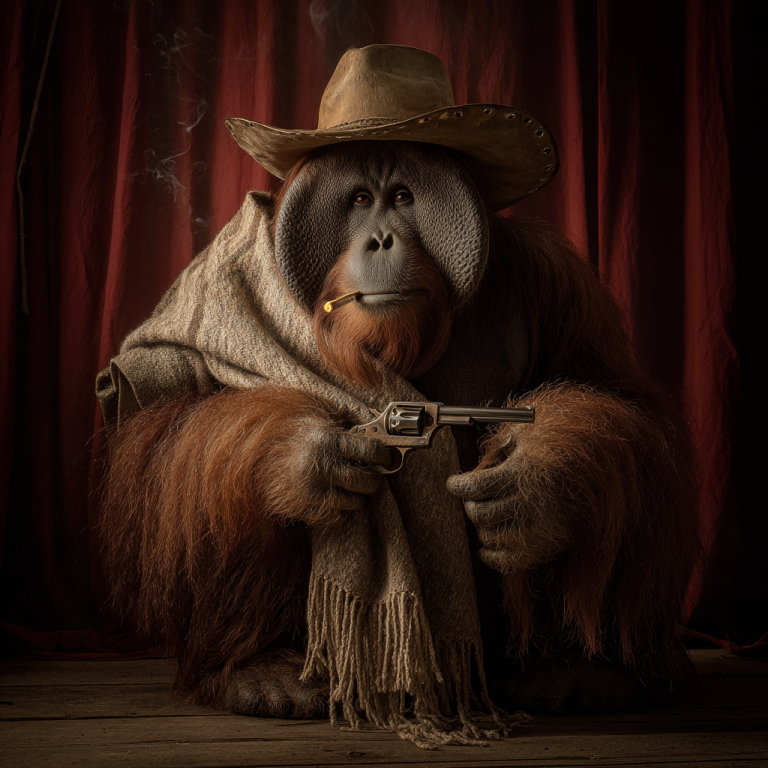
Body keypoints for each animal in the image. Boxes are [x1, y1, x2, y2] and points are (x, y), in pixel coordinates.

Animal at [99, 140, 700, 720]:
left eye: (405, 198)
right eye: (361, 200)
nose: (382, 240)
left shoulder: (554, 274)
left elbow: (626, 402)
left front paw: (531, 484)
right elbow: (156, 414)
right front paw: (304, 457)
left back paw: (577, 673)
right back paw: (262, 673)